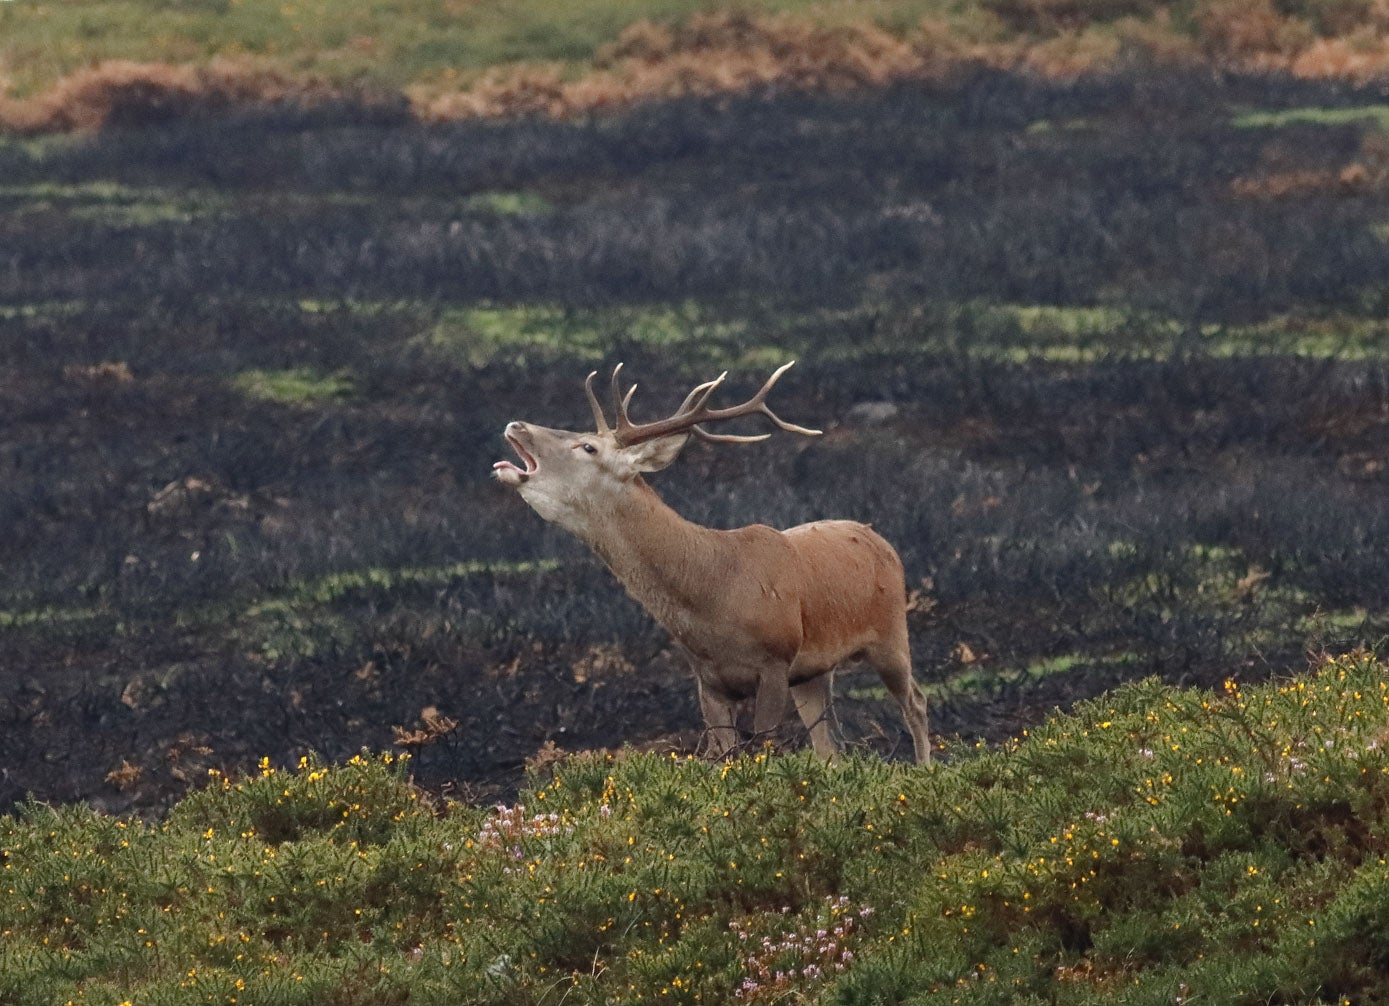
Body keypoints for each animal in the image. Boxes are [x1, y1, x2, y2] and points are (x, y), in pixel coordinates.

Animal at [491, 361, 933, 761]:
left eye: (588, 446)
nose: (517, 424)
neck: (714, 599)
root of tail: (881, 539)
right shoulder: (709, 681)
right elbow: (726, 754)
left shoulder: (774, 661)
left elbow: (763, 746)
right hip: (814, 671)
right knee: (830, 746)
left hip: (890, 632)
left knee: (915, 702)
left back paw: (924, 767)